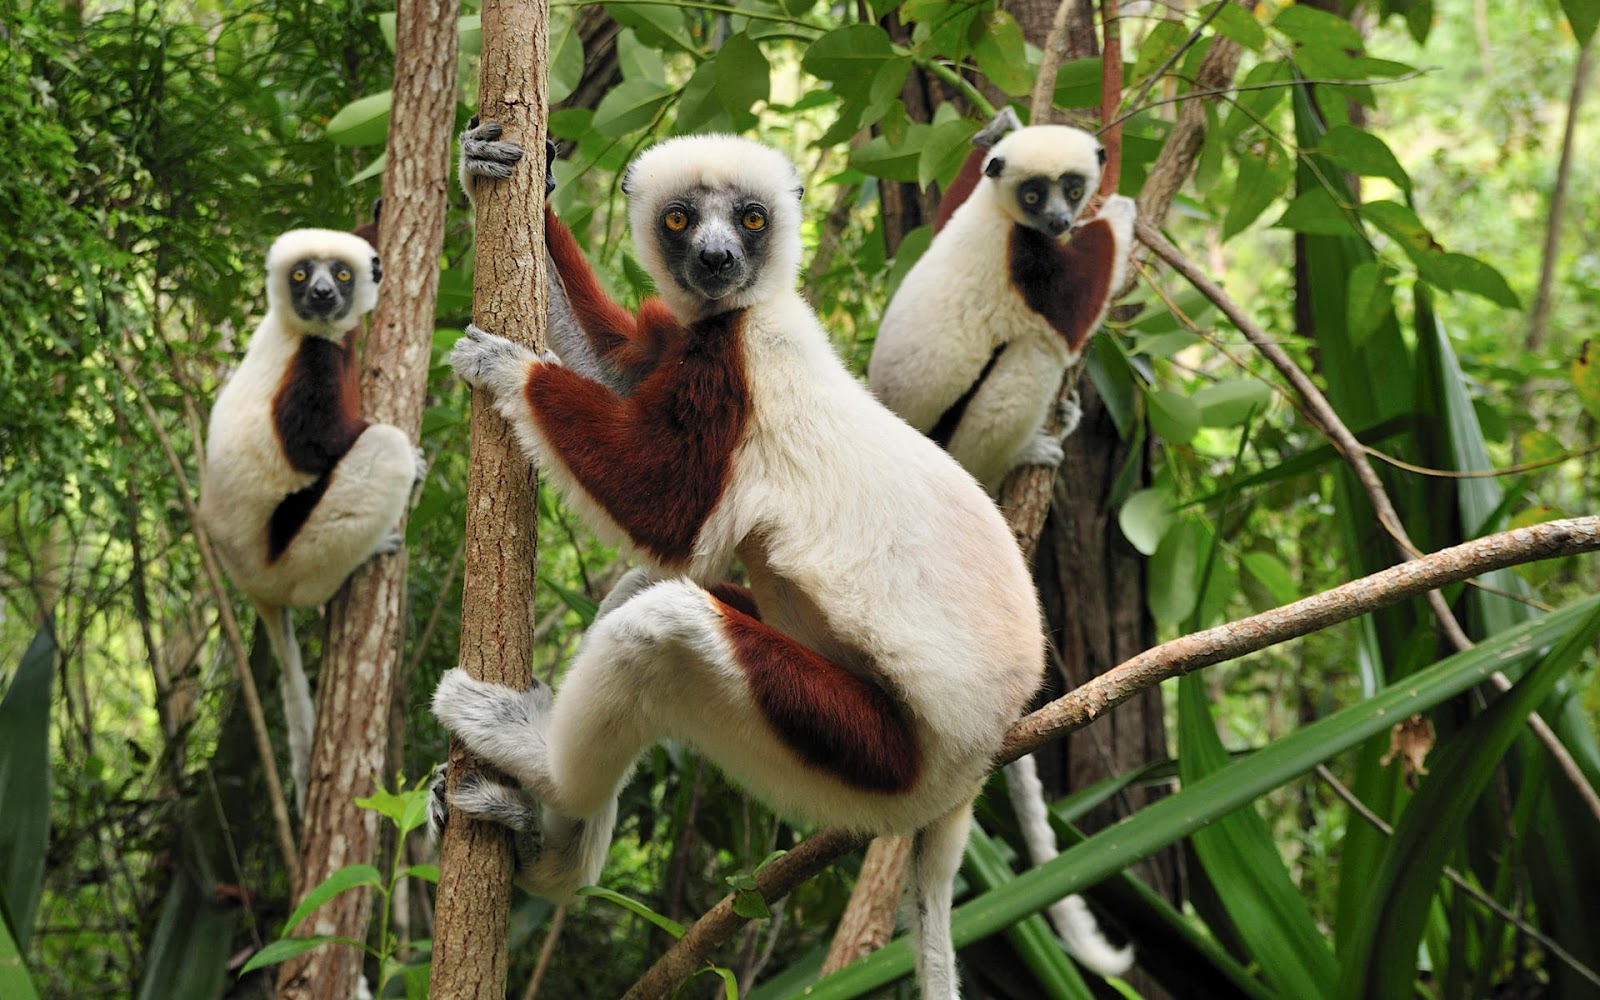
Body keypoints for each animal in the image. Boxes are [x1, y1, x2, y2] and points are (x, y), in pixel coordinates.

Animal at [200, 228, 423, 813]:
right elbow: (315, 448)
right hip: (289, 558)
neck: (297, 329)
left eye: (340, 275)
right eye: (302, 275)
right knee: (383, 448)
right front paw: (416, 461)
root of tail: (254, 586)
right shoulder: (313, 364)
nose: (322, 295)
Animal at [431, 131, 1046, 999]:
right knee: (647, 591)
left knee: (666, 629)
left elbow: (667, 508)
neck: (745, 312)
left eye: (751, 219)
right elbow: (624, 367)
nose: (717, 259)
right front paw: (493, 166)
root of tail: (982, 752)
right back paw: (547, 853)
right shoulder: (702, 344)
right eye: (682, 219)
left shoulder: (740, 369)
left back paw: (534, 756)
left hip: (863, 755)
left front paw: (511, 367)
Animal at [868, 112, 1137, 978]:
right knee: (1029, 354)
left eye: (1067, 186)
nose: (1059, 219)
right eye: (1036, 193)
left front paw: (997, 124)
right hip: (966, 434)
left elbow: (944, 202)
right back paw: (1028, 451)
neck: (1004, 222)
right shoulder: (1029, 267)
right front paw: (1123, 220)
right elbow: (1070, 309)